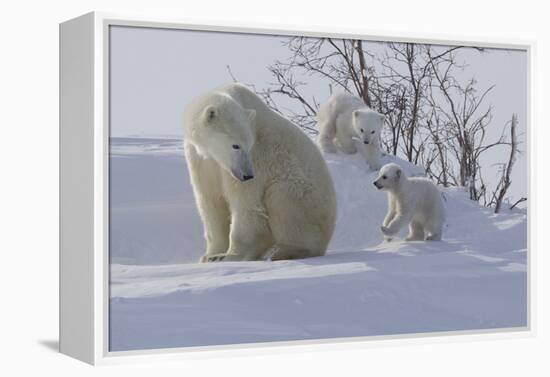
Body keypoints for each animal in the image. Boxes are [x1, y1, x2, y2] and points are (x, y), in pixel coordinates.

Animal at [183, 83, 338, 262]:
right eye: (235, 145)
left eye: (248, 145)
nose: (248, 175)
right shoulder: (201, 160)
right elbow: (210, 201)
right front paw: (210, 255)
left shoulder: (258, 156)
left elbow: (246, 204)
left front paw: (229, 256)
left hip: (310, 201)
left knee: (282, 196)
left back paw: (280, 251)